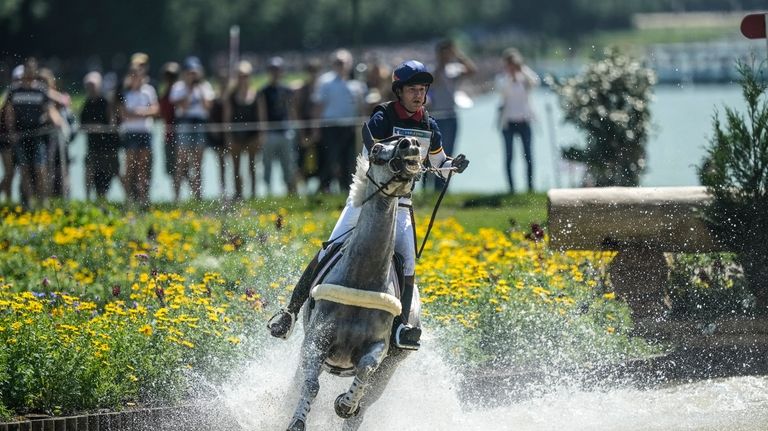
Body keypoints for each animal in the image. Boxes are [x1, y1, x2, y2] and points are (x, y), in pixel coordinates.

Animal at [284, 136, 424, 431]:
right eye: (376, 149)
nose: (410, 144)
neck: (362, 278)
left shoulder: (378, 349)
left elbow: (364, 371)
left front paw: (345, 404)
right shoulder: (315, 342)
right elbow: (310, 386)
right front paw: (297, 421)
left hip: (390, 369)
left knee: (367, 402)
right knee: (298, 383)